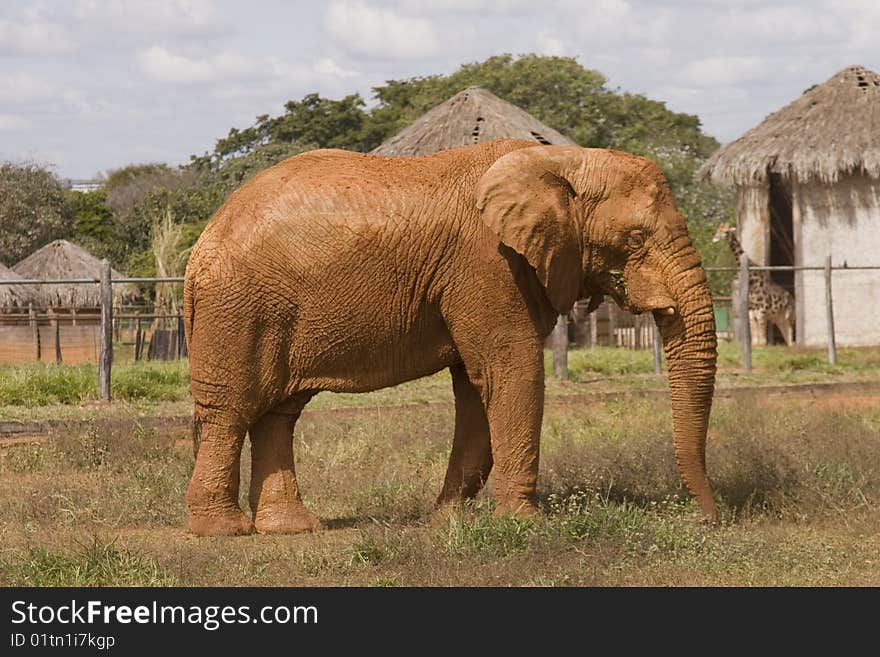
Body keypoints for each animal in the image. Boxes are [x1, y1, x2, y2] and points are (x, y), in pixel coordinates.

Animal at [184, 138, 716, 532]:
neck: (561, 159)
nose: (709, 517)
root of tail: (203, 241)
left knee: (278, 413)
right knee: (231, 411)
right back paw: (223, 530)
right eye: (635, 239)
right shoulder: (487, 264)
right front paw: (525, 525)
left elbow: (477, 389)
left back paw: (292, 528)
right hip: (239, 307)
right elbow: (510, 372)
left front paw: (446, 522)